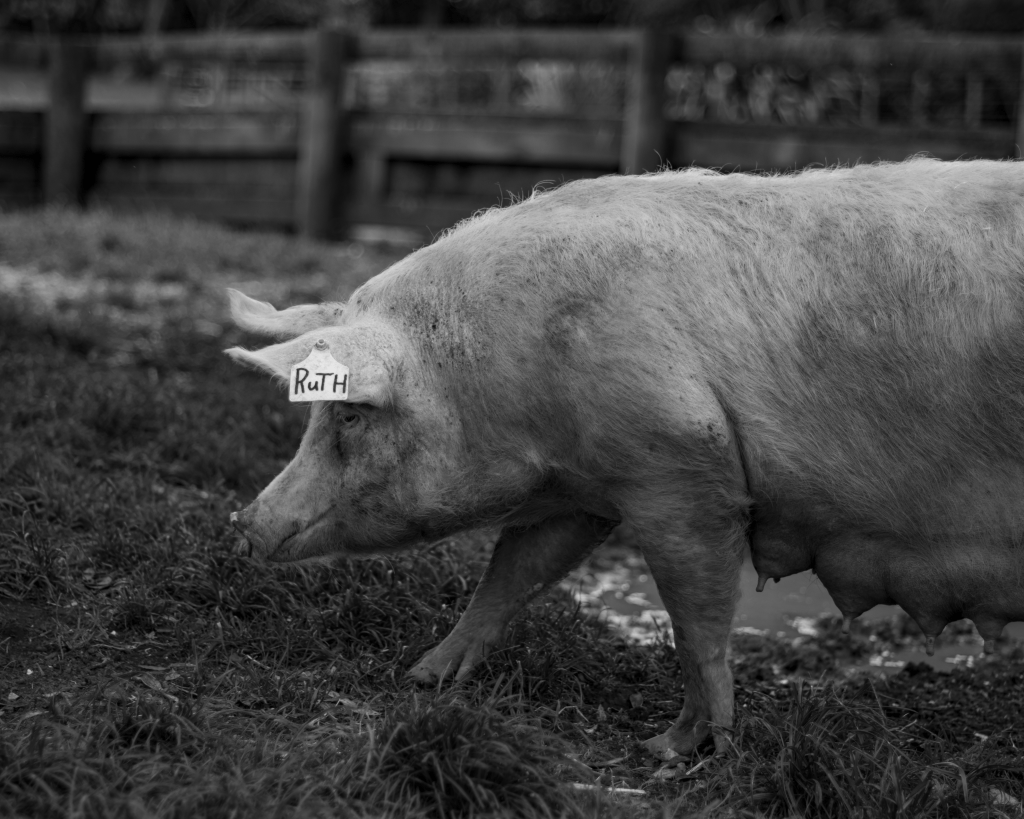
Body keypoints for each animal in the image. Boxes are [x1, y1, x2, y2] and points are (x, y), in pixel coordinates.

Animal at [227, 158, 1024, 758]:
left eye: (350, 412)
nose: (244, 524)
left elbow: (696, 623)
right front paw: (424, 676)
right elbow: (511, 575)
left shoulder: (683, 467)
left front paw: (675, 747)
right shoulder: (580, 489)